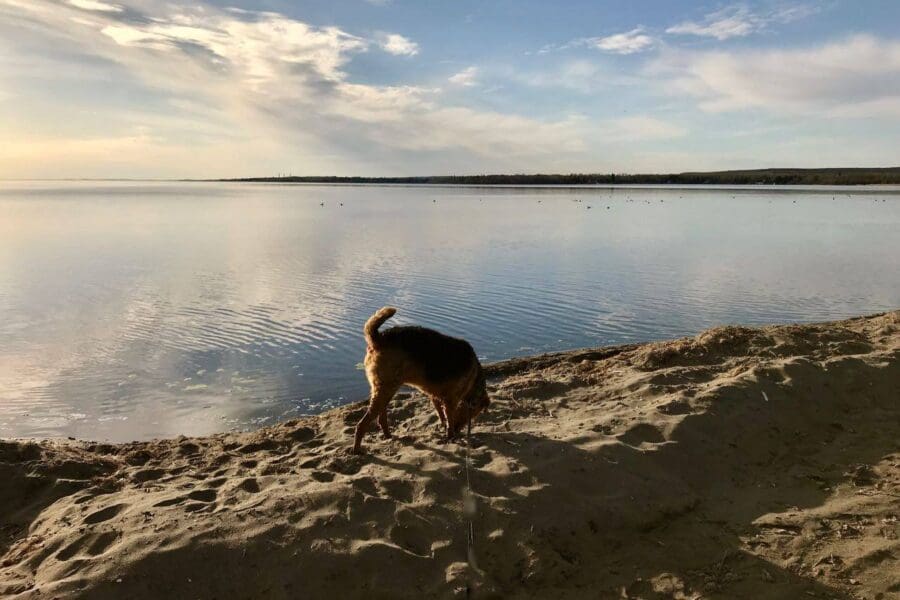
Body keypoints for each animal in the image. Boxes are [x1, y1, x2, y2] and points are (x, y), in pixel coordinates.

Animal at [354, 308, 492, 452]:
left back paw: (388, 436)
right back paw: (357, 450)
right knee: (362, 424)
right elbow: (449, 419)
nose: (459, 430)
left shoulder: (435, 396)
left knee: (381, 418)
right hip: (386, 388)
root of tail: (378, 338)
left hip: (385, 390)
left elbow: (441, 414)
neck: (473, 380)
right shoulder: (451, 400)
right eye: (474, 413)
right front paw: (451, 436)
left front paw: (445, 428)